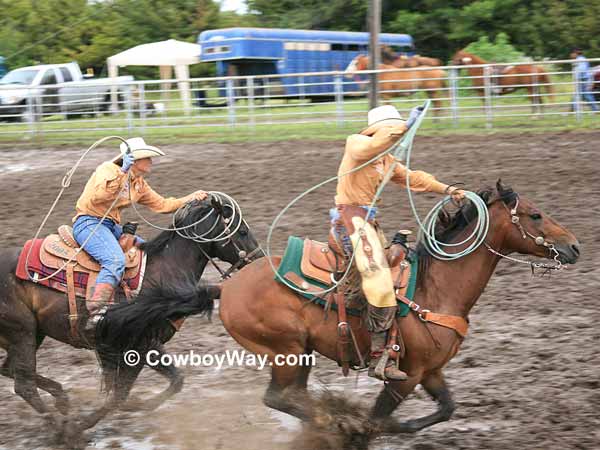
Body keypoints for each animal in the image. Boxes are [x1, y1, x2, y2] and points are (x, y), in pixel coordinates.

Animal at [0, 195, 262, 448]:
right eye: (242, 231)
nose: (258, 259)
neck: (163, 272)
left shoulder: (150, 342)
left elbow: (174, 381)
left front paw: (135, 404)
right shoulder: (135, 343)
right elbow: (119, 395)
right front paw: (78, 427)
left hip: (31, 333)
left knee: (10, 369)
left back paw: (62, 400)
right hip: (22, 331)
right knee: (23, 383)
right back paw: (66, 431)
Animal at [218, 181, 580, 448]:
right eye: (535, 215)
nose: (574, 246)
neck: (437, 287)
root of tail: (228, 287)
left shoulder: (431, 370)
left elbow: (445, 409)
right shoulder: (407, 375)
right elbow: (378, 418)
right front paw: (359, 432)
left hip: (302, 352)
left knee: (293, 397)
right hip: (286, 350)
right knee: (278, 397)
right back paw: (334, 421)